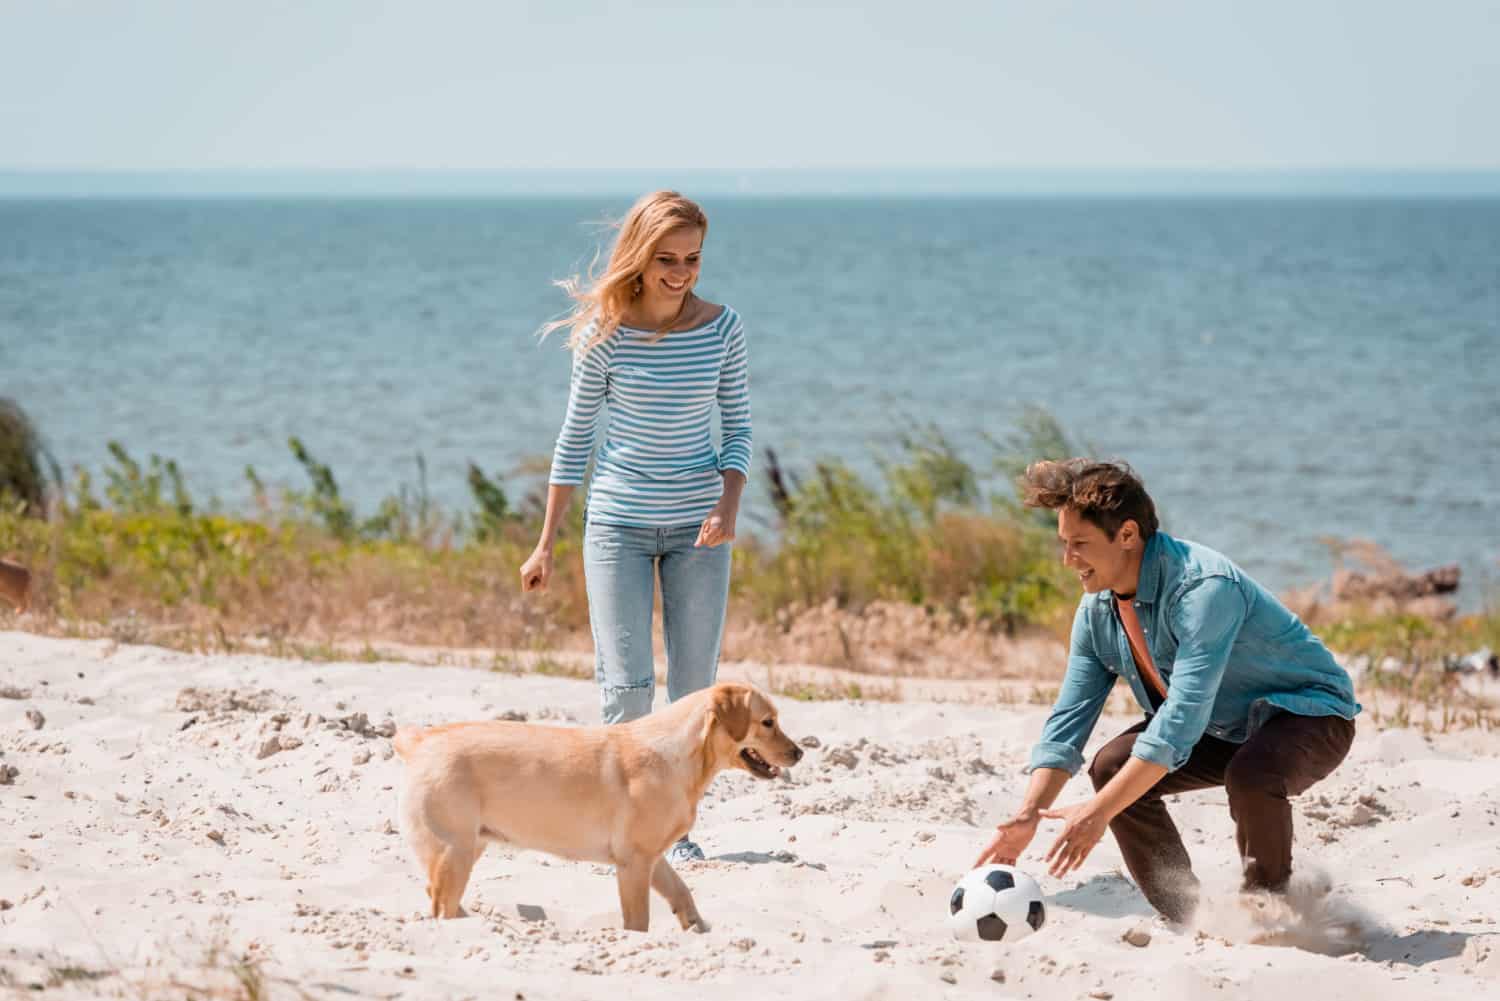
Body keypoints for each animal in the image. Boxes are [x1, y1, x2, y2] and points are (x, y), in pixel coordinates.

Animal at [393, 681, 804, 930]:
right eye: (767, 722)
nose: (800, 753)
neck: (682, 758)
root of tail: (420, 741)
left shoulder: (651, 858)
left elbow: (682, 891)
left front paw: (698, 930)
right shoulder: (634, 863)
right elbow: (638, 923)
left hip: (469, 845)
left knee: (436, 897)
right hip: (454, 849)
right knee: (440, 905)